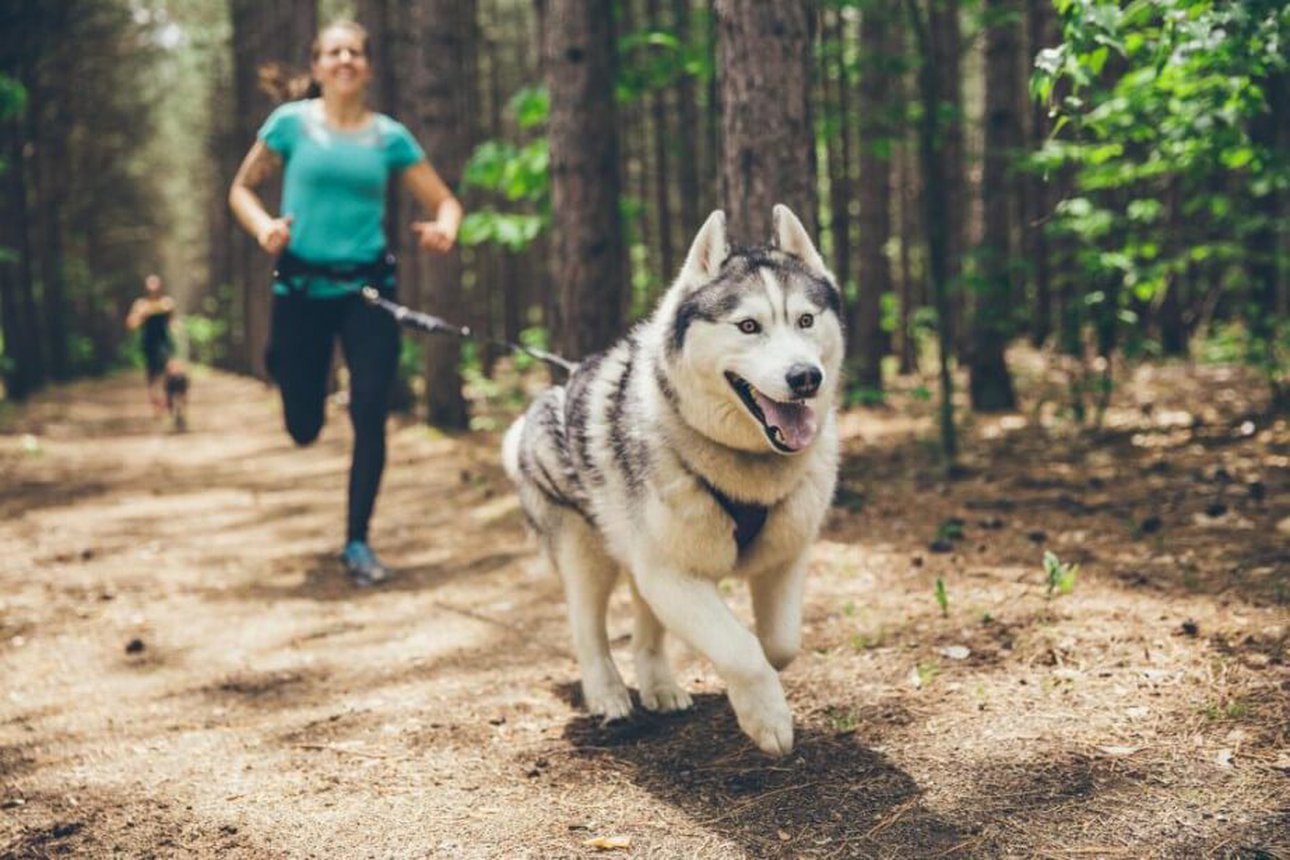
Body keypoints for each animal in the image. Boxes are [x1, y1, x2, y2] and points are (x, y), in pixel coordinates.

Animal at [503, 203, 846, 752]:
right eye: (748, 325)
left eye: (806, 320)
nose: (805, 377)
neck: (747, 461)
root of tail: (540, 406)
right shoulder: (673, 574)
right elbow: (741, 649)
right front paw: (766, 717)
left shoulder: (785, 557)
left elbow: (778, 644)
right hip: (583, 551)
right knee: (587, 626)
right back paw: (608, 694)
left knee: (646, 622)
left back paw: (658, 685)